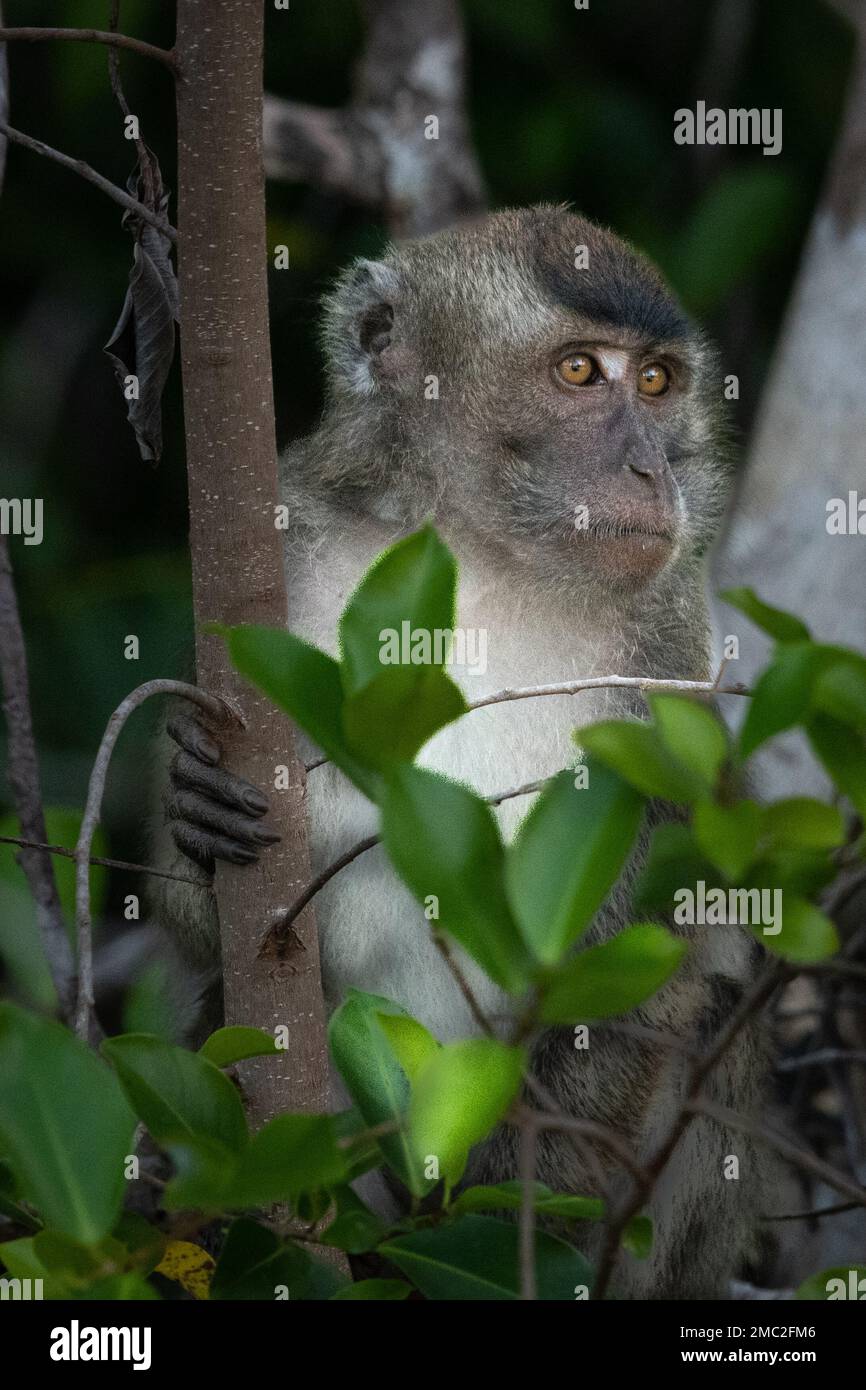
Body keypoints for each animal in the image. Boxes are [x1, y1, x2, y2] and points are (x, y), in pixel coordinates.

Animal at [152, 205, 771, 1298]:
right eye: (580, 372)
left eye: (657, 383)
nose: (651, 471)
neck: (479, 553)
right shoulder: (279, 558)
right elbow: (220, 948)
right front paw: (193, 801)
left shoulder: (670, 659)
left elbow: (653, 973)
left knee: (713, 1022)